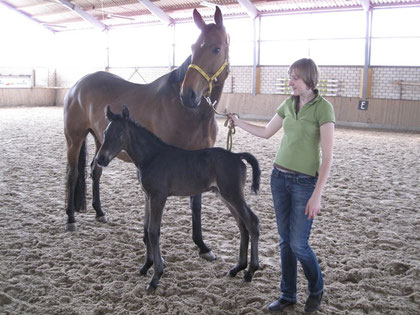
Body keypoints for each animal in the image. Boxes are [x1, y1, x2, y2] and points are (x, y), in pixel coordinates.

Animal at [64, 6, 230, 262]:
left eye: (216, 48)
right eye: (193, 48)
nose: (188, 95)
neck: (187, 113)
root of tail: (78, 85)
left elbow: (196, 203)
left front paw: (202, 246)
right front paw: (149, 243)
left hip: (102, 142)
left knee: (95, 170)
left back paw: (99, 212)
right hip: (75, 139)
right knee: (72, 174)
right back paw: (71, 219)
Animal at [96, 107, 260, 294]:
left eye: (120, 134)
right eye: (105, 132)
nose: (100, 159)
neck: (152, 156)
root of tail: (237, 156)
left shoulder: (158, 197)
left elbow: (153, 232)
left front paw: (155, 277)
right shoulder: (147, 196)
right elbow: (146, 229)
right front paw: (146, 266)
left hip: (233, 194)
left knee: (252, 222)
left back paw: (250, 271)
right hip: (225, 196)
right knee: (242, 225)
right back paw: (237, 268)